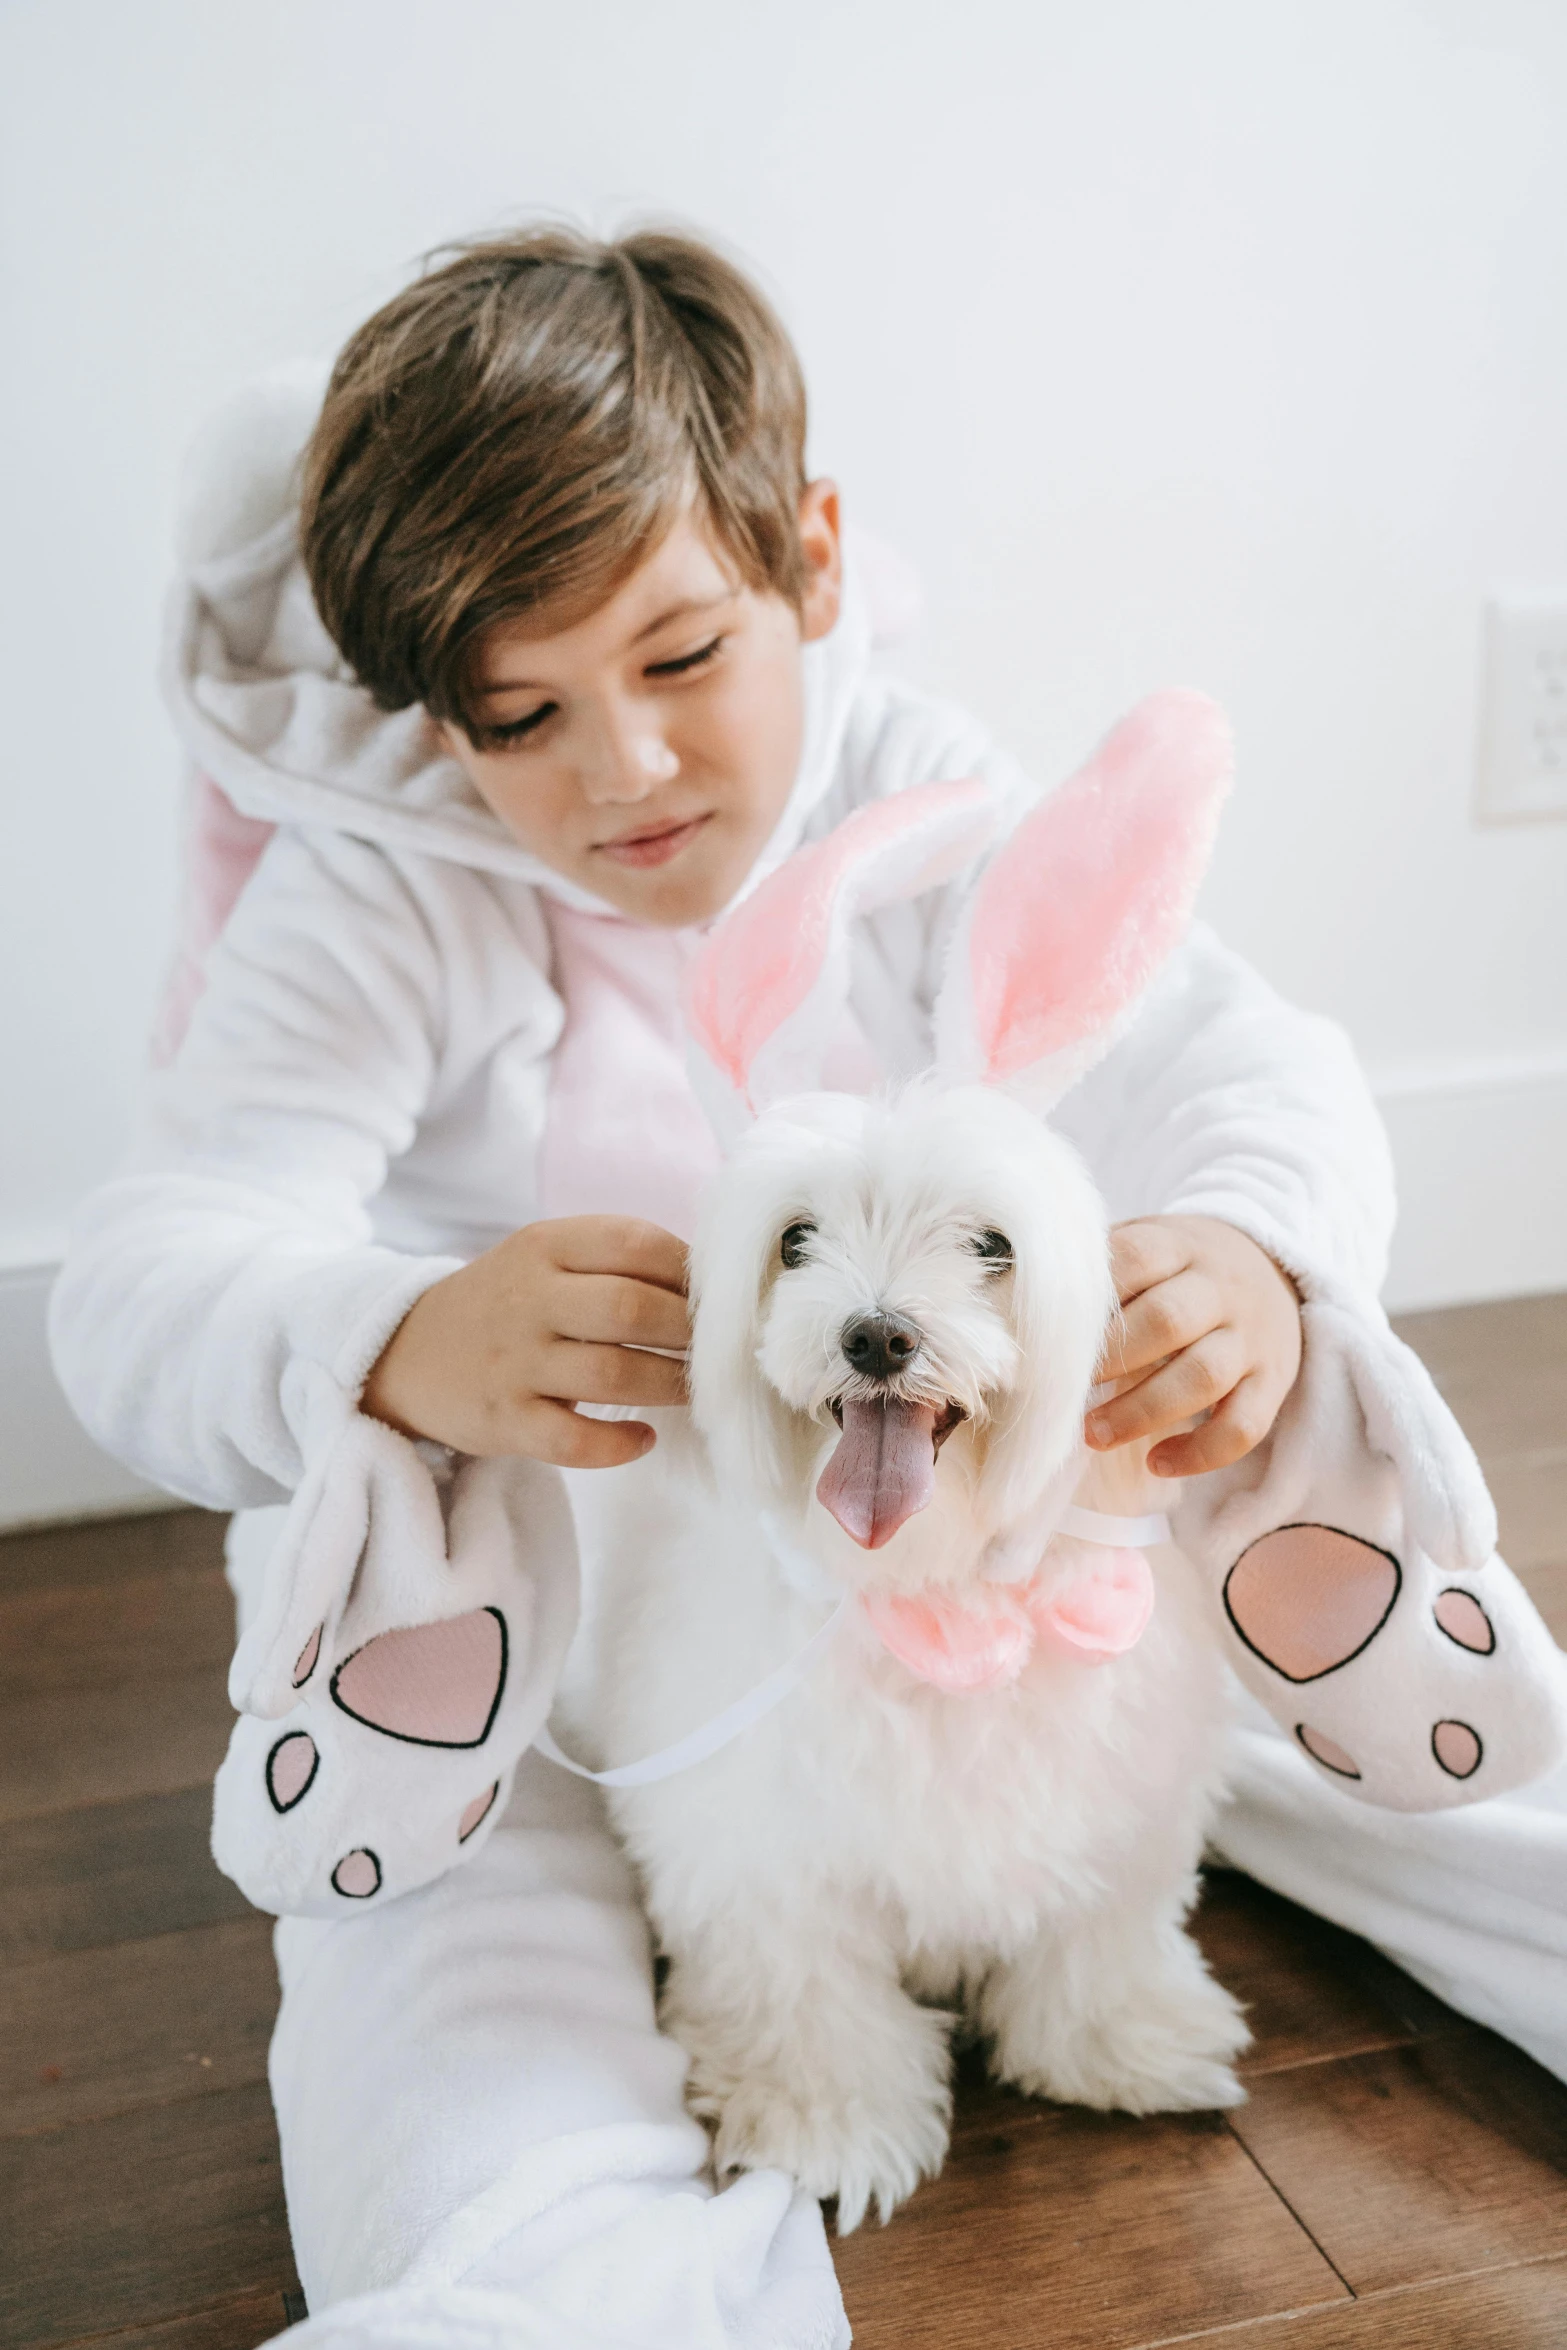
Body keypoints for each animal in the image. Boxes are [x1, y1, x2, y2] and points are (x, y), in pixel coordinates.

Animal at [563, 690, 1249, 2218]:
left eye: (989, 1242)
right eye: (796, 1239)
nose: (875, 1333)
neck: (939, 1603)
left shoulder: (1111, 1812)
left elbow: (1098, 1935)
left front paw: (1125, 2044)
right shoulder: (760, 1860)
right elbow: (803, 2000)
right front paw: (825, 2132)